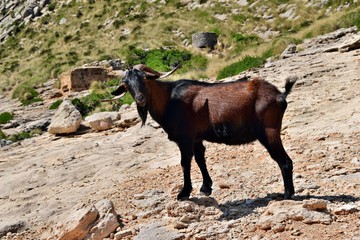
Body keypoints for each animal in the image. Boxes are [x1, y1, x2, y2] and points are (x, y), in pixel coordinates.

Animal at [113, 64, 298, 201]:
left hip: (269, 131)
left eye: (144, 78)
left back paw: (287, 195)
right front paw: (206, 188)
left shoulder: (185, 138)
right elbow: (200, 159)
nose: (140, 99)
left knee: (285, 161)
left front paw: (184, 193)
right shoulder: (197, 138)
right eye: (126, 84)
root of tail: (280, 95)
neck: (169, 101)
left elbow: (185, 162)